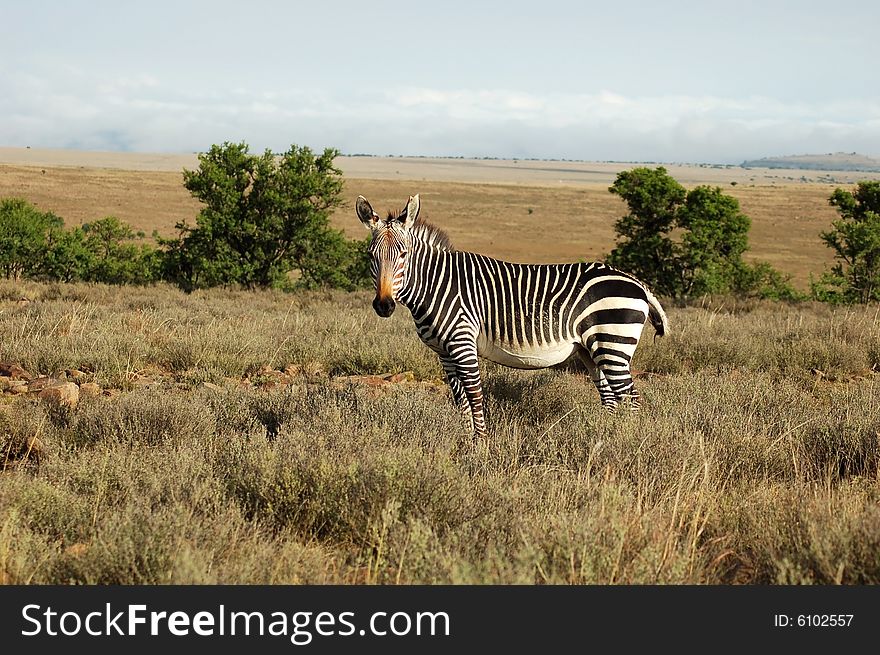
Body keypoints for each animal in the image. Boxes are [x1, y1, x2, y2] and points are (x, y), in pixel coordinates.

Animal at [356, 195, 668, 440]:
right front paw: (464, 439)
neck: (436, 284)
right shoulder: (444, 353)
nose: (384, 306)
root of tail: (637, 283)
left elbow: (475, 395)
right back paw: (606, 434)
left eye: (403, 254)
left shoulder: (463, 343)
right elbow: (460, 399)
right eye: (371, 256)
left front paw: (480, 444)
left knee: (630, 396)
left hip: (614, 342)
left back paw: (626, 440)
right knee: (611, 396)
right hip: (591, 350)